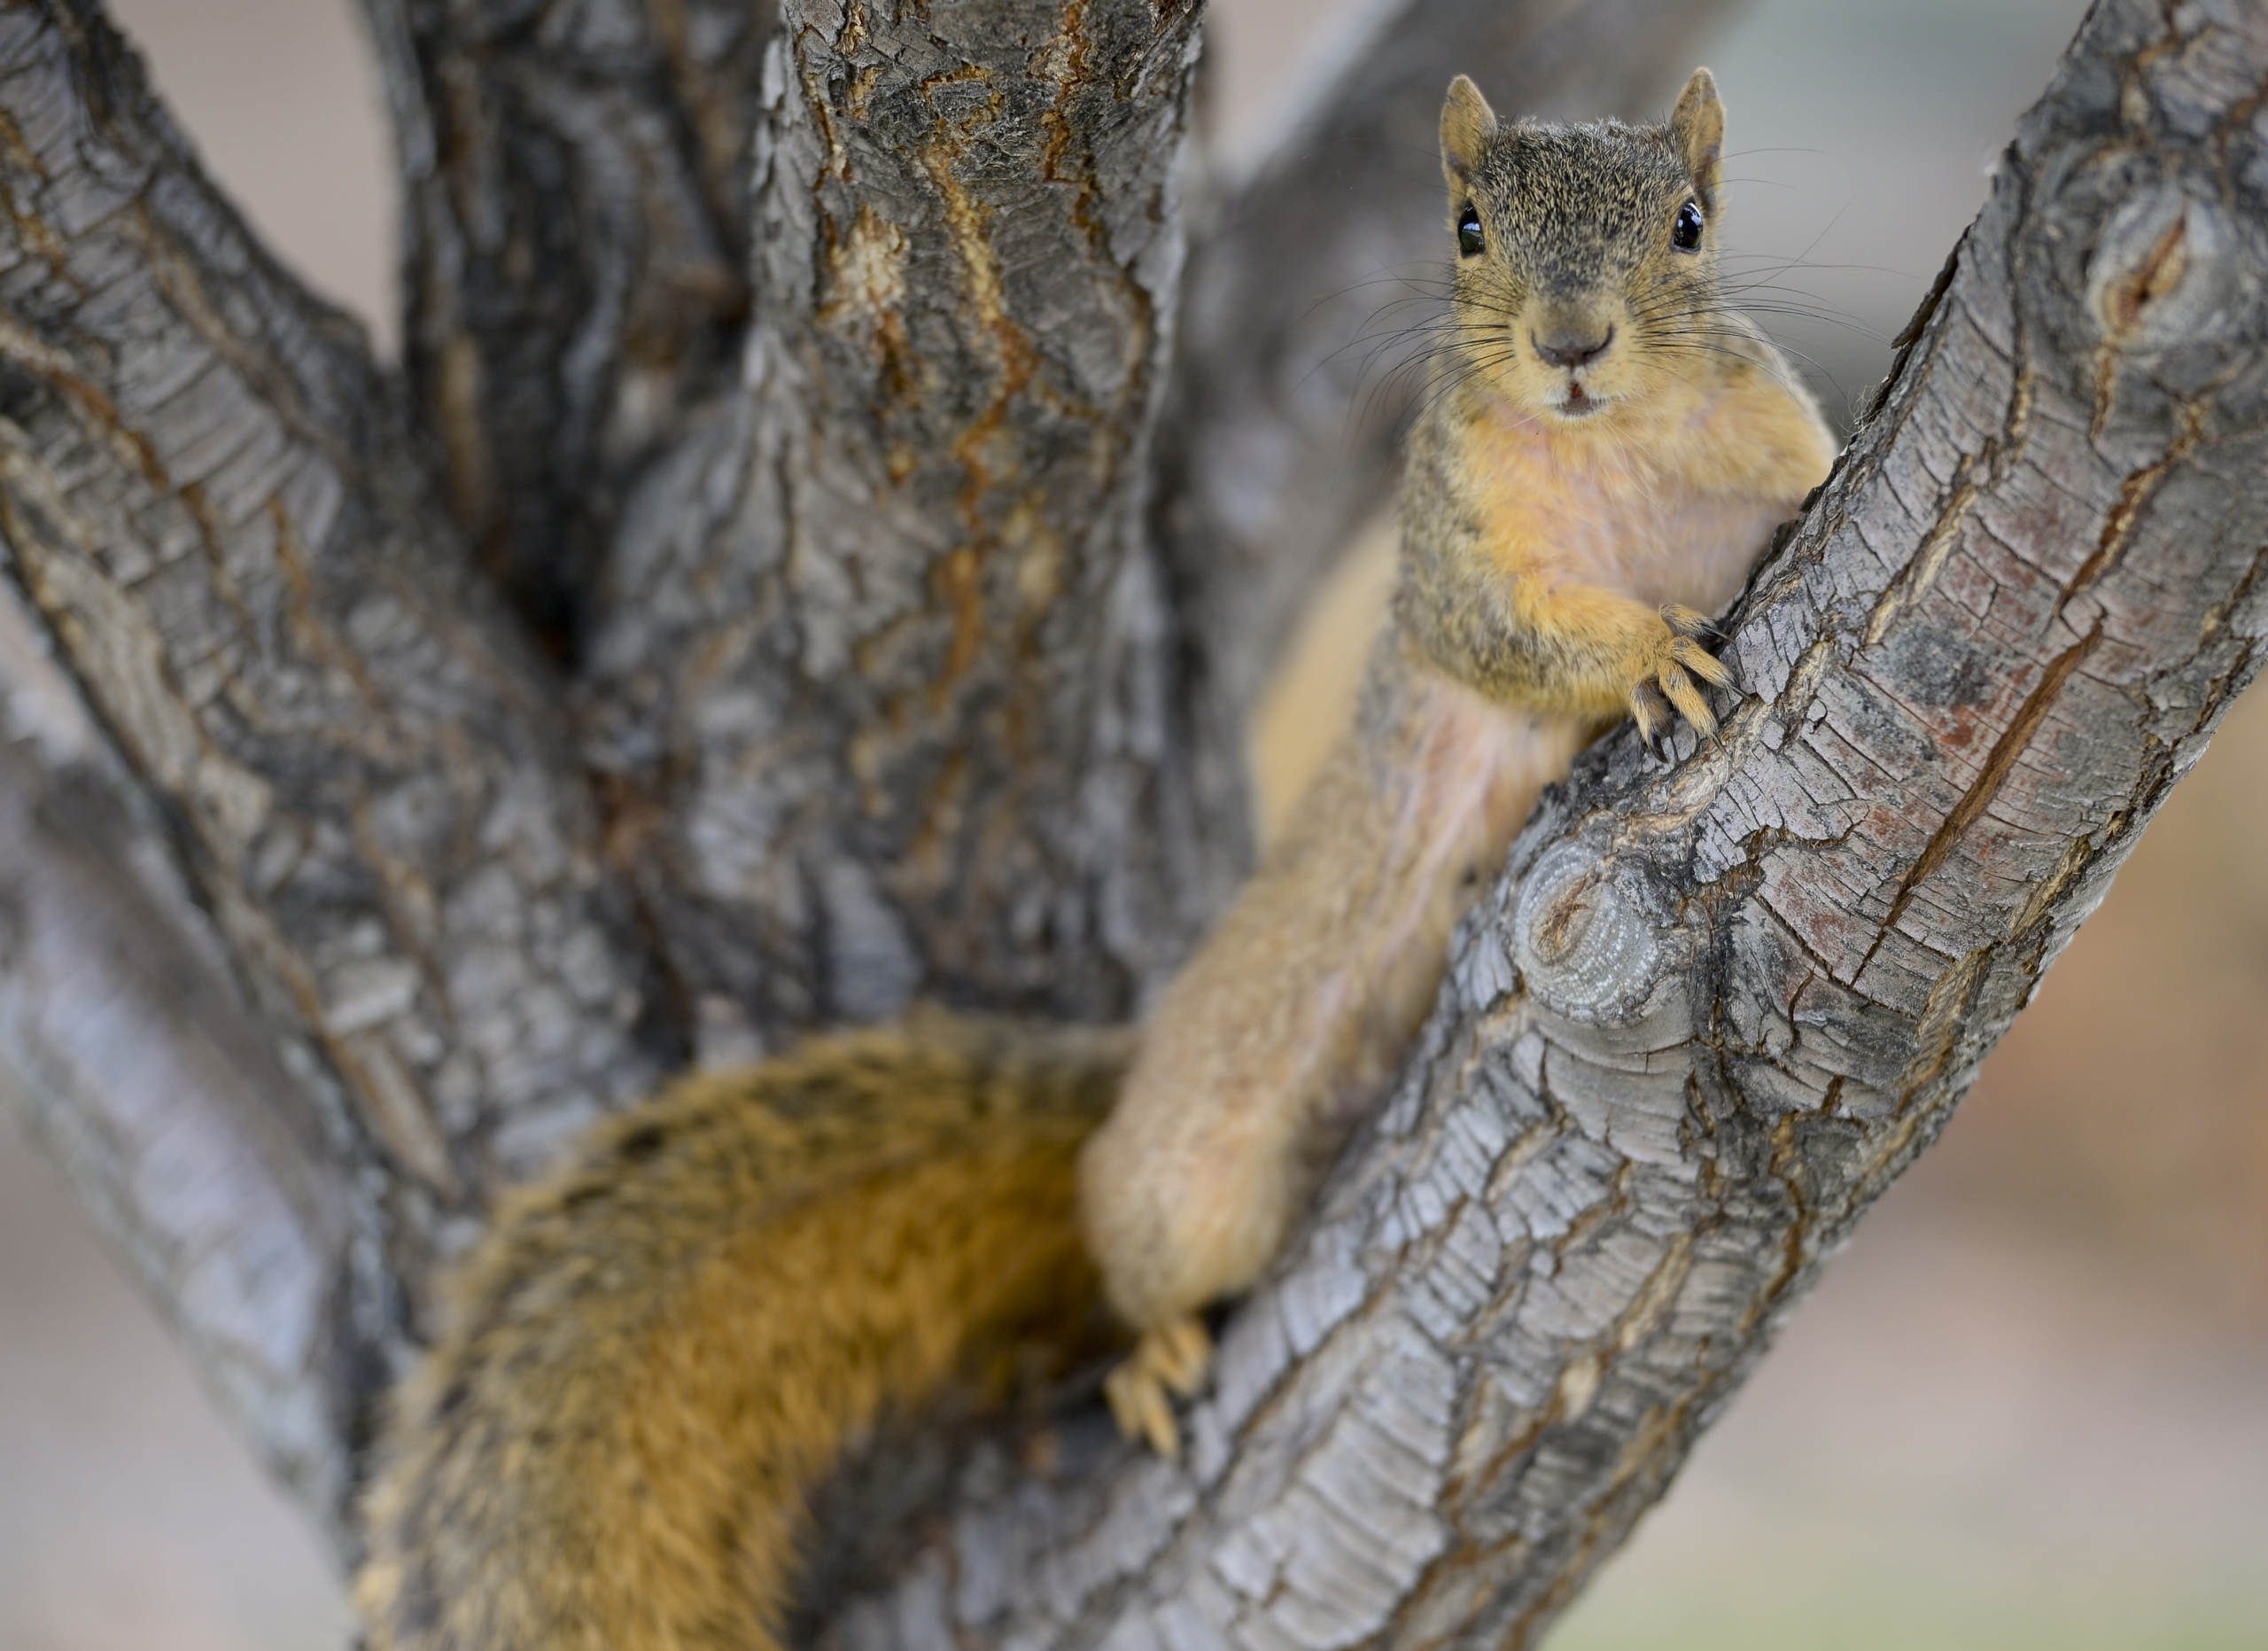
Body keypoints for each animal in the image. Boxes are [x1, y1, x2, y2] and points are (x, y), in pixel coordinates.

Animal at [358, 70, 1841, 1650]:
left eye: (1688, 224)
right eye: (1467, 228)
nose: (1569, 346)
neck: (1620, 450)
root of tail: (1128, 1089)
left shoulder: (1774, 448)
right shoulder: (1457, 550)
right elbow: (1509, 637)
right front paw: (1641, 653)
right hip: (1194, 1175)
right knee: (1143, 1264)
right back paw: (1152, 1352)